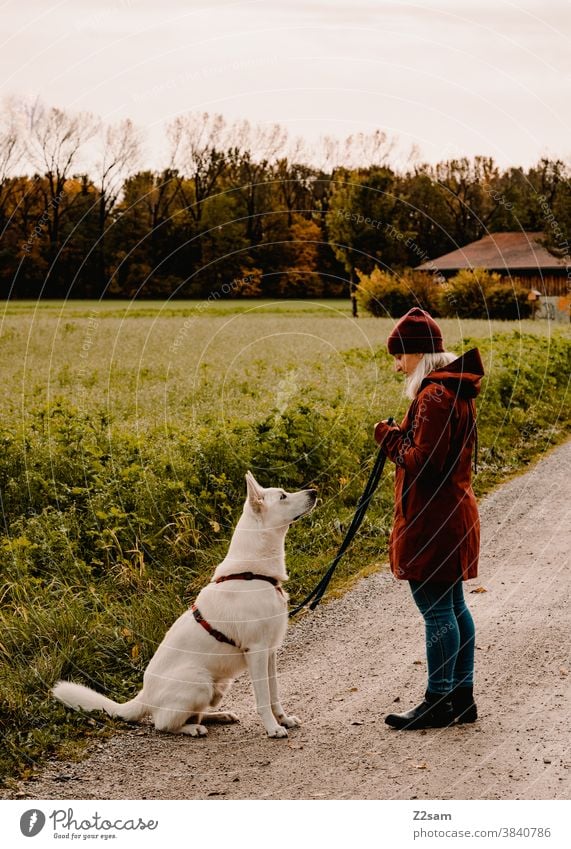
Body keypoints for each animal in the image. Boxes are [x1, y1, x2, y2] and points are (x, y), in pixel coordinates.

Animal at [52, 470, 318, 736]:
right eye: (283, 496)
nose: (314, 492)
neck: (252, 574)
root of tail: (144, 696)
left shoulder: (270, 652)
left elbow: (274, 695)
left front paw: (283, 719)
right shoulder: (257, 651)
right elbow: (263, 699)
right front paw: (272, 728)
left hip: (218, 685)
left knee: (192, 715)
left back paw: (219, 716)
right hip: (198, 681)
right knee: (163, 723)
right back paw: (192, 729)